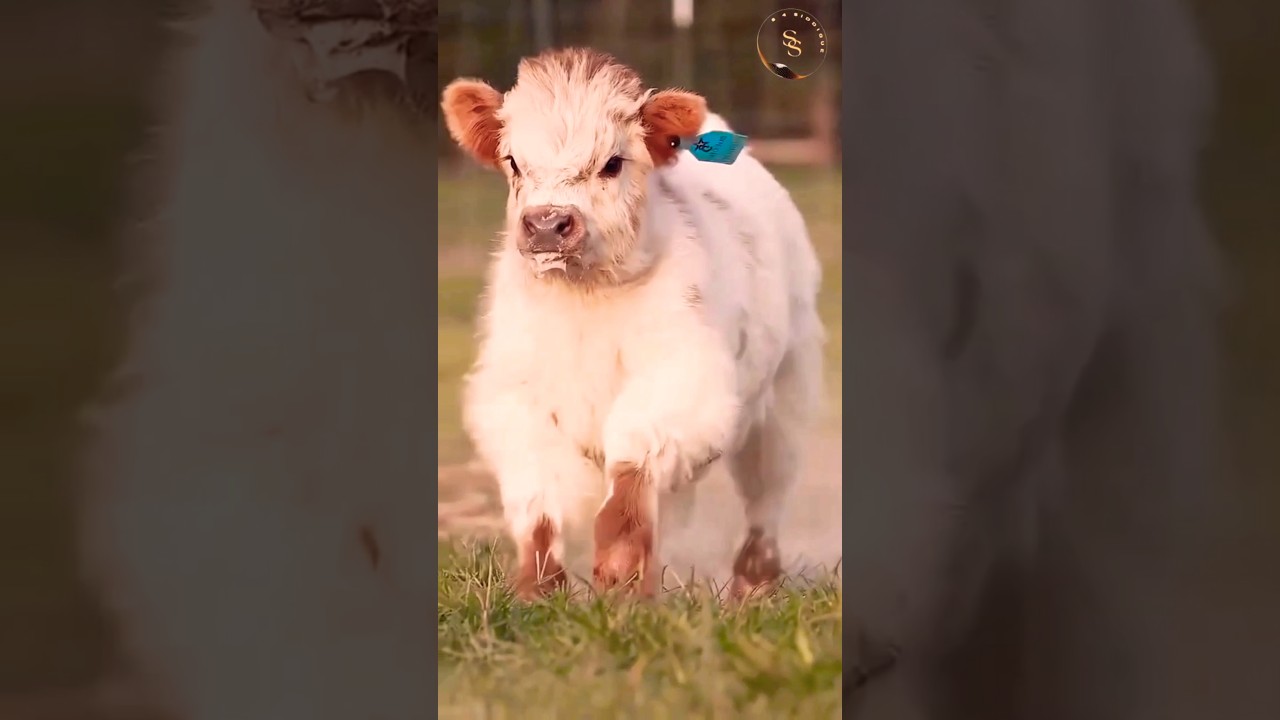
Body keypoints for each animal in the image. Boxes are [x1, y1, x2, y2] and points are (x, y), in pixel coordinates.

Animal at [440, 47, 827, 599]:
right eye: (513, 161)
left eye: (613, 162)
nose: (547, 224)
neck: (585, 301)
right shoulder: (515, 399)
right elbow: (539, 502)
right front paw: (538, 593)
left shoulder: (681, 382)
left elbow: (630, 472)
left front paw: (620, 581)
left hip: (786, 394)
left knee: (766, 496)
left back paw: (753, 586)